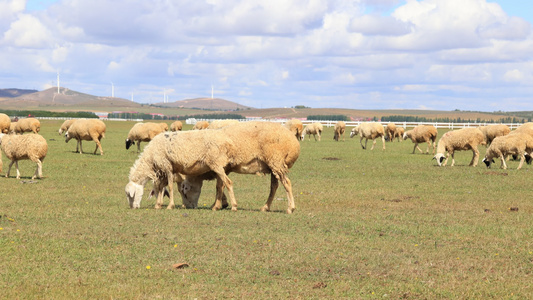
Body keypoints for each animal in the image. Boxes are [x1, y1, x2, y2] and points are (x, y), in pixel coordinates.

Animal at [124, 120, 300, 214]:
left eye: (130, 195)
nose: (132, 207)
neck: (150, 159)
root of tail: (294, 142)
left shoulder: (166, 166)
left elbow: (168, 186)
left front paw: (168, 205)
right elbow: (218, 186)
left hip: (276, 161)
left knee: (287, 183)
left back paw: (290, 208)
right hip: (272, 166)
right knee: (274, 186)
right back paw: (265, 207)